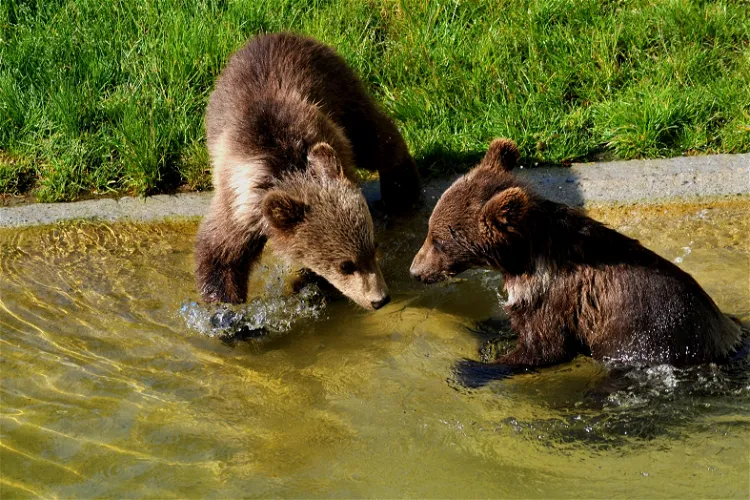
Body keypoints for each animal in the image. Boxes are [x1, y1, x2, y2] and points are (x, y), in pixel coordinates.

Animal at [195, 33, 421, 309]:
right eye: (346, 265)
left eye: (373, 246)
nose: (380, 299)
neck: (285, 169)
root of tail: (274, 34)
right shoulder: (241, 206)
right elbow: (221, 253)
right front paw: (226, 309)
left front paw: (306, 284)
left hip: (340, 91)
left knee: (375, 138)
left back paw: (401, 191)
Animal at [410, 138, 743, 378]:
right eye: (429, 232)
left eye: (438, 241)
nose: (414, 271)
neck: (523, 259)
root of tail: (728, 341)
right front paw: (488, 324)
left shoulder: (557, 296)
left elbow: (545, 347)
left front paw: (472, 367)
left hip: (653, 338)